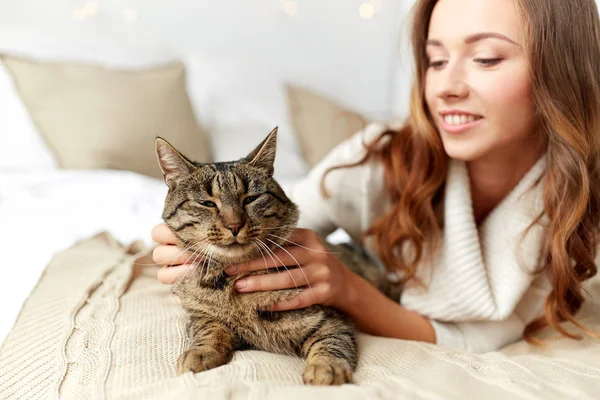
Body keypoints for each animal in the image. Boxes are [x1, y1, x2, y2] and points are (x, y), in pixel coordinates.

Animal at [152, 127, 392, 384]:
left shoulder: (332, 321)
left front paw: (327, 367)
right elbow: (210, 329)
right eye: (207, 203)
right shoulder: (200, 316)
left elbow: (331, 344)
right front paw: (201, 352)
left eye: (250, 199)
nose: (234, 225)